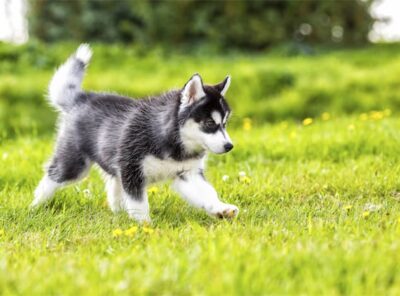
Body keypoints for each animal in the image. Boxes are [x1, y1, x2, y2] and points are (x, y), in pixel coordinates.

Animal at [32, 44, 238, 222]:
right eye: (210, 123)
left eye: (225, 124)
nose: (229, 146)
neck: (174, 141)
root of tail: (82, 97)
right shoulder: (132, 169)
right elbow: (138, 202)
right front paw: (144, 225)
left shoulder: (187, 172)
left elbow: (207, 192)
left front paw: (221, 208)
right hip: (75, 163)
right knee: (53, 175)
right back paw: (36, 205)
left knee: (113, 184)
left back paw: (118, 213)